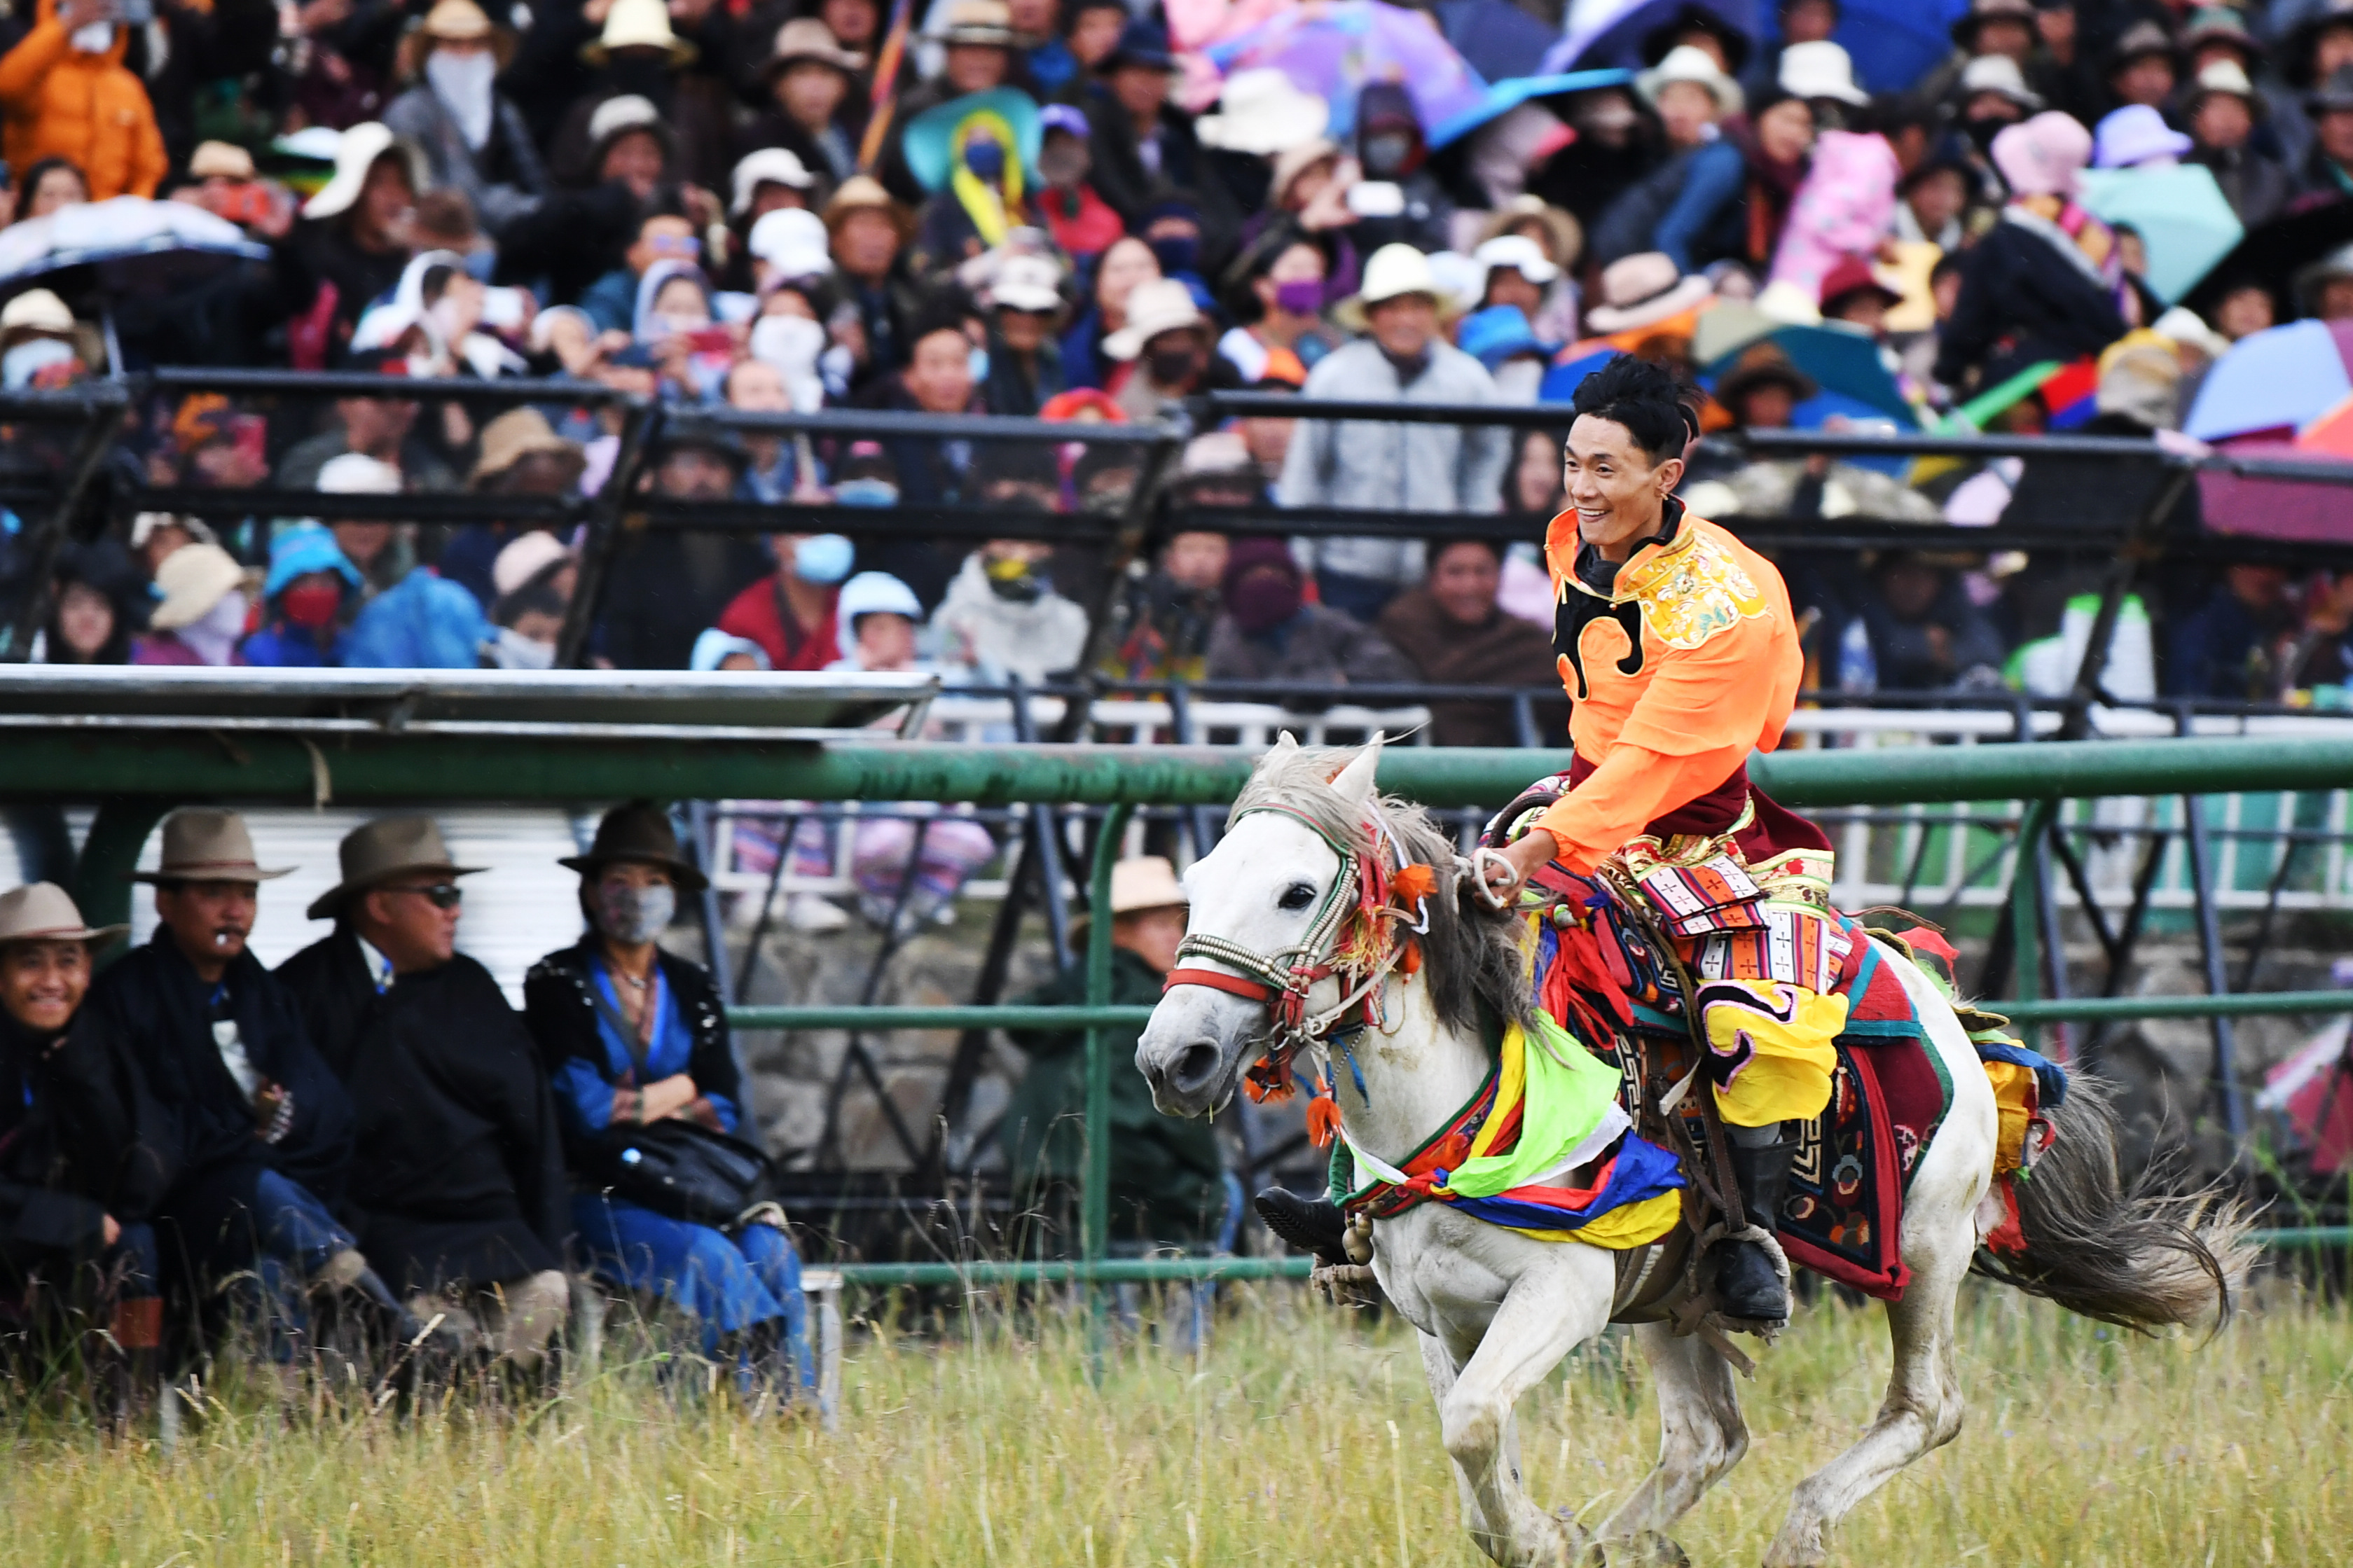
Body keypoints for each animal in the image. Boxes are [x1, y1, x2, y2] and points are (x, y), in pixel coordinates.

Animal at [1143, 738, 2258, 1568]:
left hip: (1927, 1246)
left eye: (1296, 891)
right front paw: (1551, 1537)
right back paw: (1627, 1540)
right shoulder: (1439, 1317)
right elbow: (1478, 1447)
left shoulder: (1564, 1291)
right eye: (1199, 884)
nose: (1173, 1056)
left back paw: (1797, 1528)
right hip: (1675, 1286)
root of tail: (1951, 1014)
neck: (1463, 1106)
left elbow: (1471, 1426)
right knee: (1707, 1438)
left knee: (1924, 1406)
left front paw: (1548, 1537)